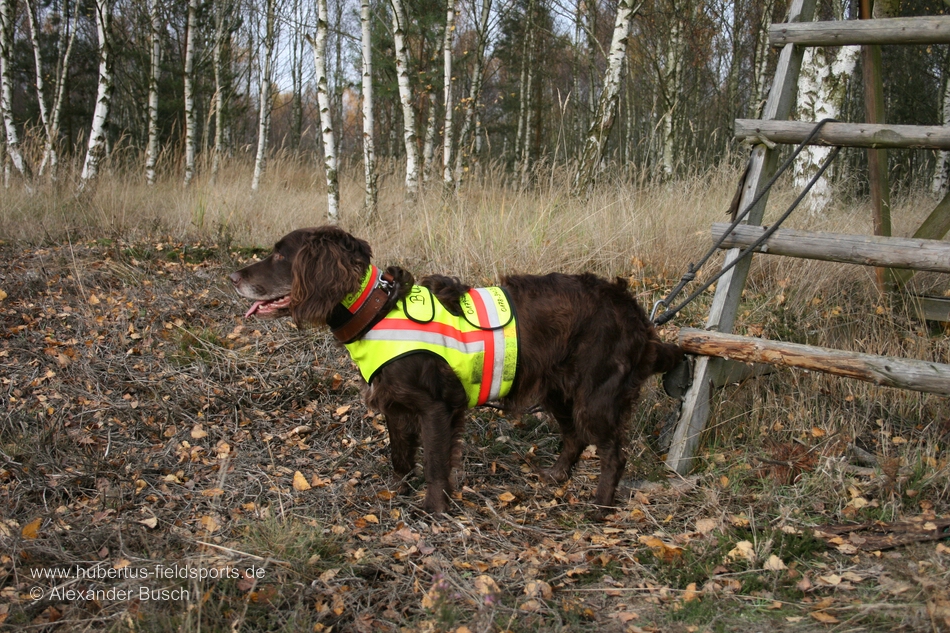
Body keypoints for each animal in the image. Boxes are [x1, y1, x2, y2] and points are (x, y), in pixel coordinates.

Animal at [231, 226, 684, 512]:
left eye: (280, 254)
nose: (234, 276)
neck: (376, 311)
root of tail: (635, 313)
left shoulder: (436, 406)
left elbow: (434, 463)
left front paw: (434, 509)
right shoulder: (397, 406)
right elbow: (400, 456)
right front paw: (397, 494)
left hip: (596, 394)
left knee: (613, 453)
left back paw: (601, 507)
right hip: (558, 388)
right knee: (574, 436)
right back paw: (555, 477)